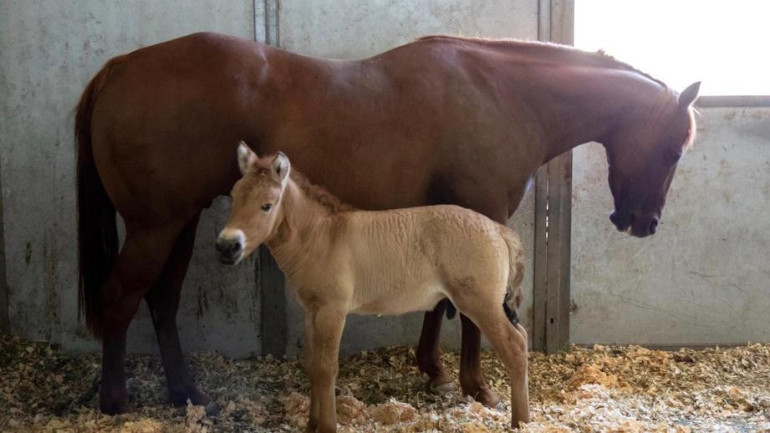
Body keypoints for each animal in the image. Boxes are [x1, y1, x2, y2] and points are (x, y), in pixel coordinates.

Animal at [217, 144, 529, 430]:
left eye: (266, 205)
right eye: (234, 197)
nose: (226, 247)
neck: (322, 236)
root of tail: (498, 230)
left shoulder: (332, 310)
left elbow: (327, 368)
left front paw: (327, 426)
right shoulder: (311, 310)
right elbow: (313, 365)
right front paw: (311, 424)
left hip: (480, 303)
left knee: (514, 346)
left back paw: (521, 421)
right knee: (522, 338)